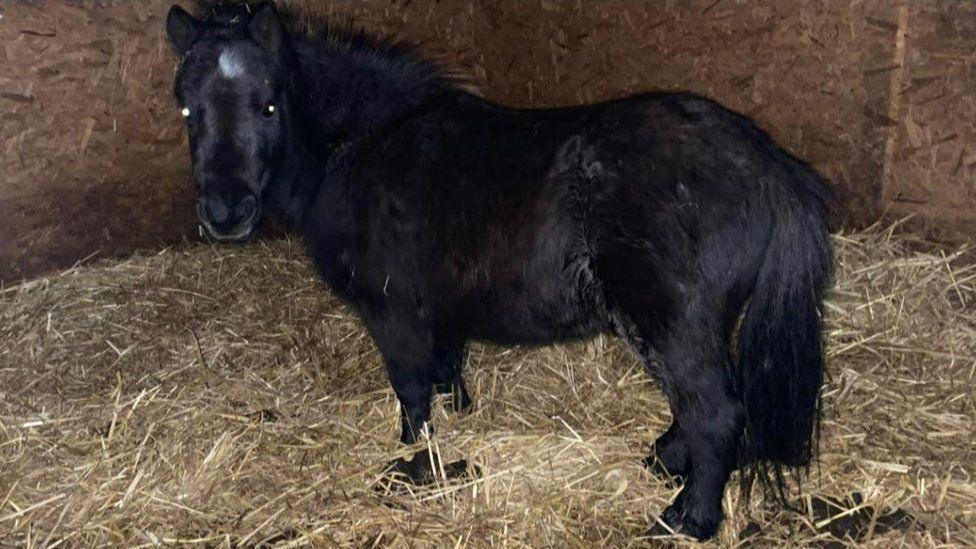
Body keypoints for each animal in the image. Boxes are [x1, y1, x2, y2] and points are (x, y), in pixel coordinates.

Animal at [166, 2, 832, 536]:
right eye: (188, 111)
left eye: (268, 105)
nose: (225, 213)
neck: (365, 148)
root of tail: (767, 164)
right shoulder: (438, 311)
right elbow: (446, 374)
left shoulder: (393, 313)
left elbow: (411, 394)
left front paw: (412, 458)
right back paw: (666, 460)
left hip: (671, 323)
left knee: (715, 413)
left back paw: (687, 519)